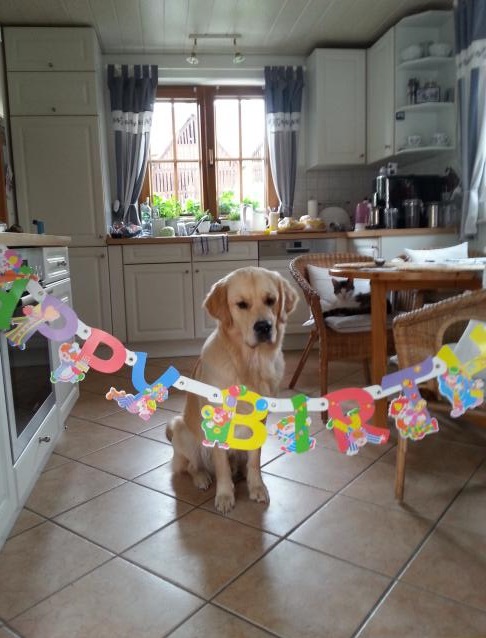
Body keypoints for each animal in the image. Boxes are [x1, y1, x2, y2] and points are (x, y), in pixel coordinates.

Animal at [167, 266, 298, 513]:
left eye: (271, 300)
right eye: (241, 304)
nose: (264, 327)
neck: (249, 364)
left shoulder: (260, 421)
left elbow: (255, 461)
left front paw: (257, 487)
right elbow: (222, 467)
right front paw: (226, 495)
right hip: (181, 430)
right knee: (192, 466)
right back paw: (202, 478)